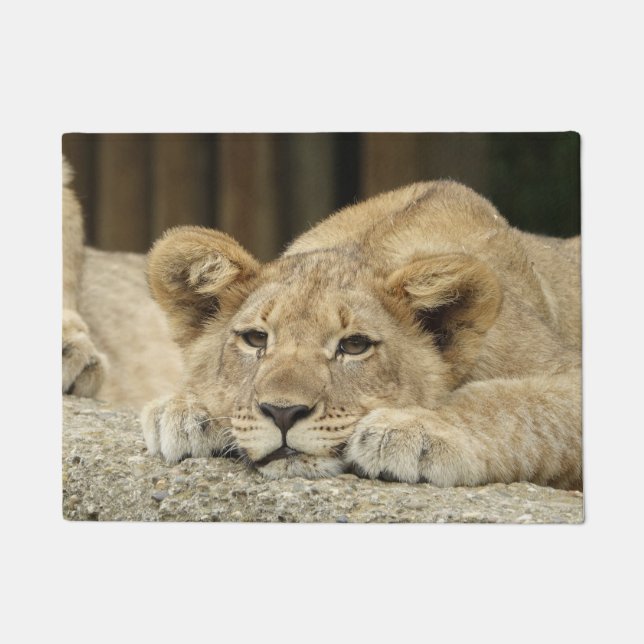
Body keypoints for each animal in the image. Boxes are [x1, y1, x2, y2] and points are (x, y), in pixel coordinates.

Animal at [137, 180, 582, 490]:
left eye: (354, 346)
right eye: (256, 339)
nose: (283, 413)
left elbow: (511, 404)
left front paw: (411, 431)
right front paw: (183, 410)